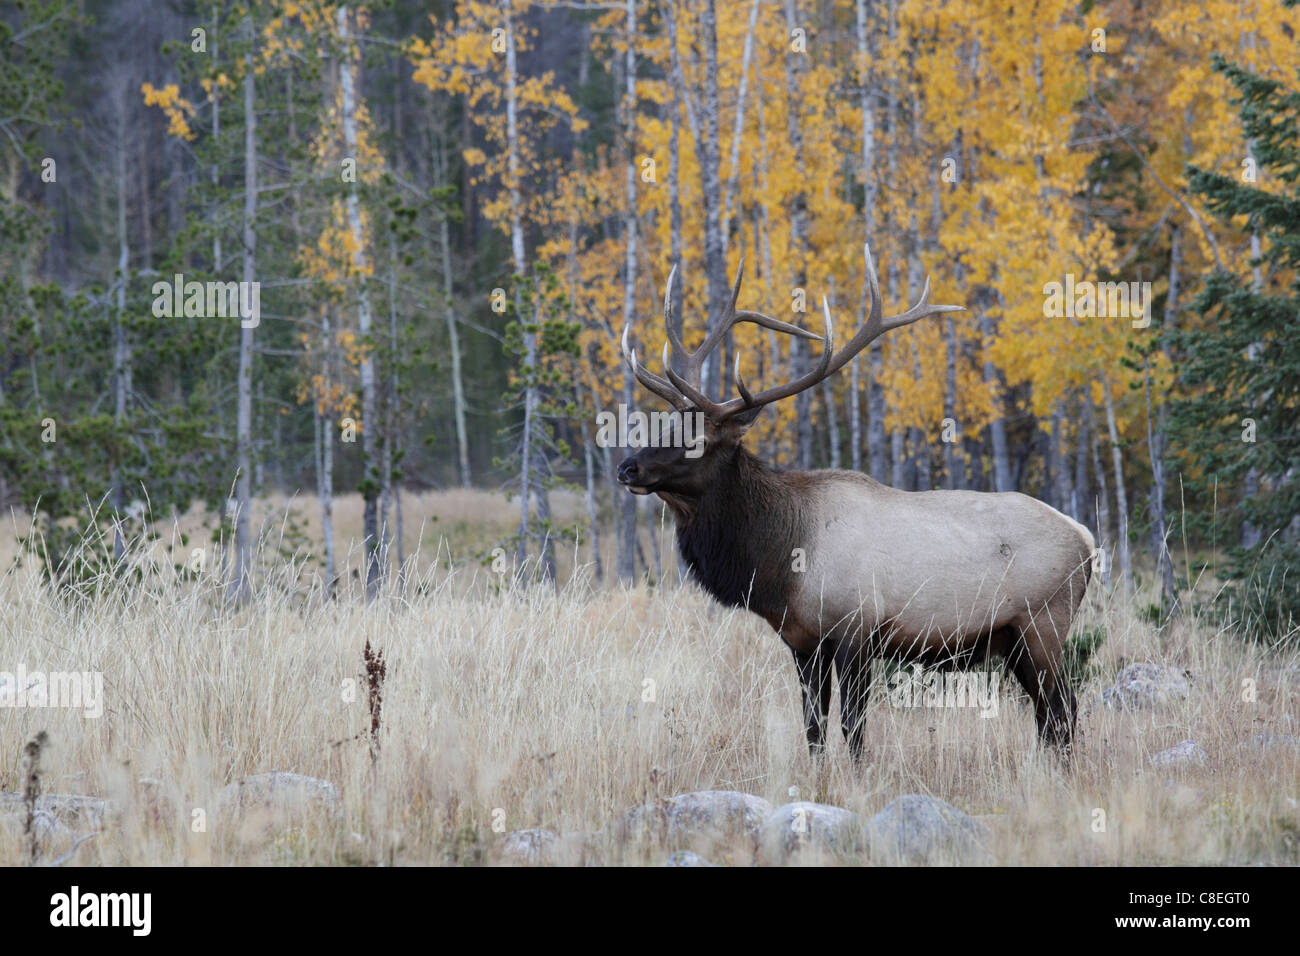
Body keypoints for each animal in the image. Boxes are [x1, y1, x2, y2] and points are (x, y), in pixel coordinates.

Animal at [618, 244, 1097, 764]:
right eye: (666, 425)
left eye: (698, 440)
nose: (628, 467)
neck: (780, 564)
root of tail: (1086, 539)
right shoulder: (802, 641)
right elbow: (813, 728)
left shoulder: (857, 629)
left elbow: (853, 729)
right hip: (1014, 640)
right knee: (1050, 714)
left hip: (1043, 622)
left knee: (1065, 708)